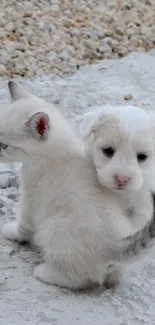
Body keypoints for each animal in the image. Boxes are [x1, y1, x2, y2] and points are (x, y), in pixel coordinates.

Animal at [0, 82, 155, 290]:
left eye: (4, 146)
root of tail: (113, 245)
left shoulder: (30, 199)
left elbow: (23, 226)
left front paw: (11, 232)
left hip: (52, 230)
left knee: (82, 279)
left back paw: (46, 272)